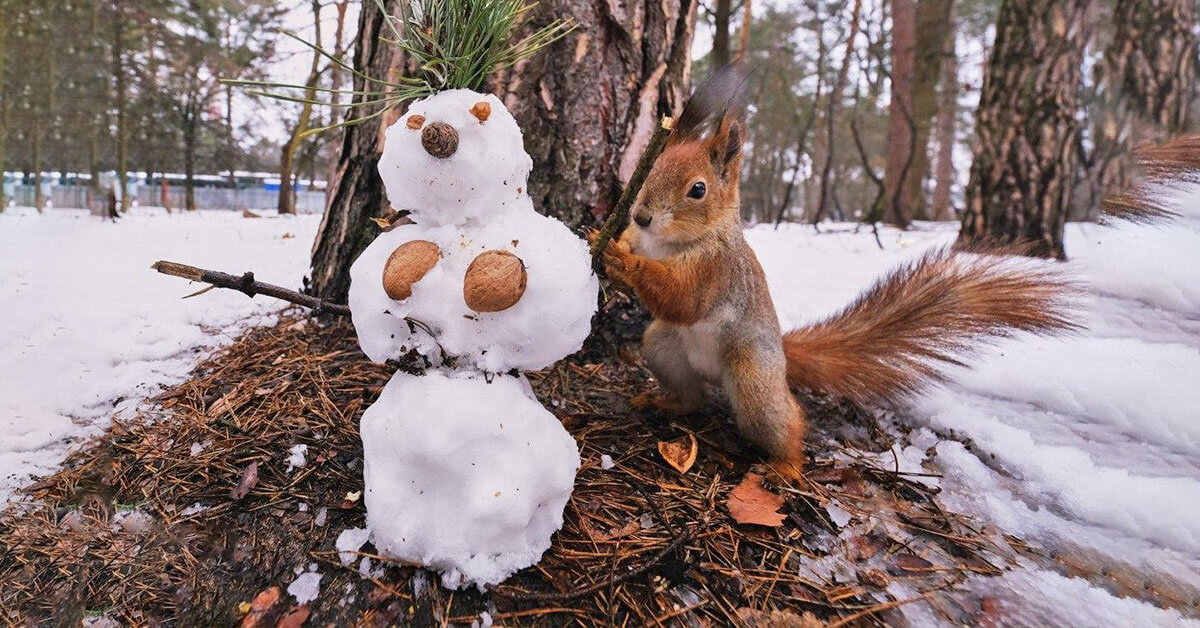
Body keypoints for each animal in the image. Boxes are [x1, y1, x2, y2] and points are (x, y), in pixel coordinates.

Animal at [597, 69, 1080, 482]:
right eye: (650, 168)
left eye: (697, 189)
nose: (640, 215)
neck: (668, 243)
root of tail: (781, 357)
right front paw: (609, 241)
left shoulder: (718, 273)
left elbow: (683, 298)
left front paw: (625, 262)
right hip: (662, 346)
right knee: (693, 396)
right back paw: (666, 400)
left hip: (753, 381)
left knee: (786, 421)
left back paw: (787, 465)